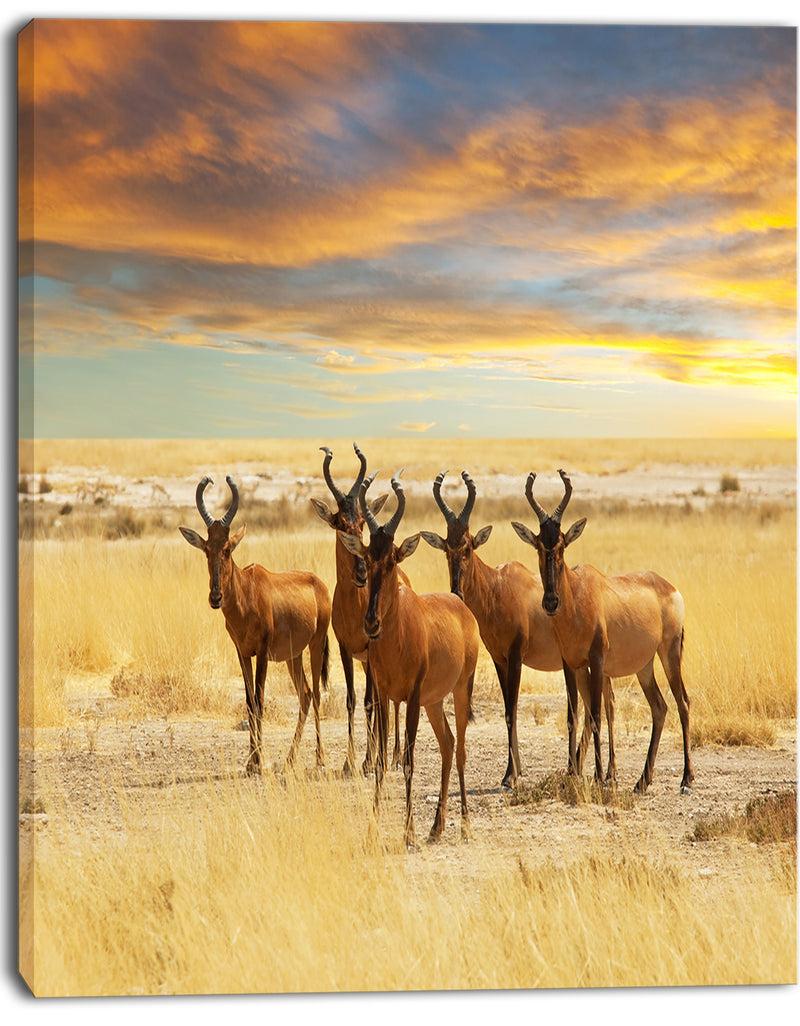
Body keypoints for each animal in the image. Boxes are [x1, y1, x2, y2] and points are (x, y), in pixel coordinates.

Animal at [180, 475, 331, 775]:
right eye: (206, 549)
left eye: (227, 549)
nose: (215, 597)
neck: (247, 592)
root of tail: (318, 582)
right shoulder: (242, 653)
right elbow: (249, 701)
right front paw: (251, 762)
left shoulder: (261, 652)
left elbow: (260, 700)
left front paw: (258, 762)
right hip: (293, 656)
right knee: (305, 695)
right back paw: (290, 759)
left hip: (316, 645)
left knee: (317, 694)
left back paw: (320, 759)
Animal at [309, 444, 405, 776]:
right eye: (339, 522)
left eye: (363, 521)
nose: (363, 572)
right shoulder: (345, 649)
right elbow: (352, 700)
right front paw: (350, 762)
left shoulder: (370, 650)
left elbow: (370, 702)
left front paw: (367, 761)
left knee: (386, 700)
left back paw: (393, 756)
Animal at [339, 473, 480, 850]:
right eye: (368, 557)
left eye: (393, 561)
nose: (371, 623)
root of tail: (461, 606)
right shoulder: (385, 695)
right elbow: (383, 762)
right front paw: (374, 831)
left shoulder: (413, 698)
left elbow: (409, 762)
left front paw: (408, 833)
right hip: (434, 701)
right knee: (447, 744)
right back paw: (437, 827)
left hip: (459, 690)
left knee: (461, 748)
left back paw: (463, 825)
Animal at [511, 470, 694, 794]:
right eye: (539, 545)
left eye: (562, 544)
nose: (550, 602)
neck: (578, 595)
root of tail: (671, 588)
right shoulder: (569, 664)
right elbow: (573, 716)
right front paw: (573, 773)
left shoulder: (596, 661)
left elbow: (595, 714)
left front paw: (598, 776)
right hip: (644, 665)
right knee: (659, 707)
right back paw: (642, 781)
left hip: (670, 652)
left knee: (683, 703)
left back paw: (686, 780)